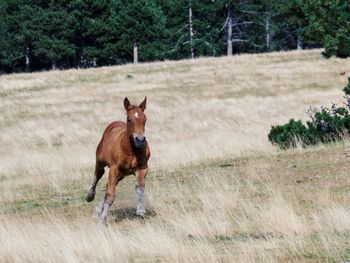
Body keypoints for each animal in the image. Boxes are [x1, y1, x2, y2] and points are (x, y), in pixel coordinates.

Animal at [86, 97, 150, 225]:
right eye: (129, 119)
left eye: (145, 119)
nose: (140, 140)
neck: (130, 150)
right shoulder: (114, 169)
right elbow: (110, 195)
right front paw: (102, 221)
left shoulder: (142, 168)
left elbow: (139, 188)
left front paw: (141, 211)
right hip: (101, 162)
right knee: (97, 175)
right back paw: (90, 196)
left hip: (122, 174)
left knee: (108, 186)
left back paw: (97, 210)